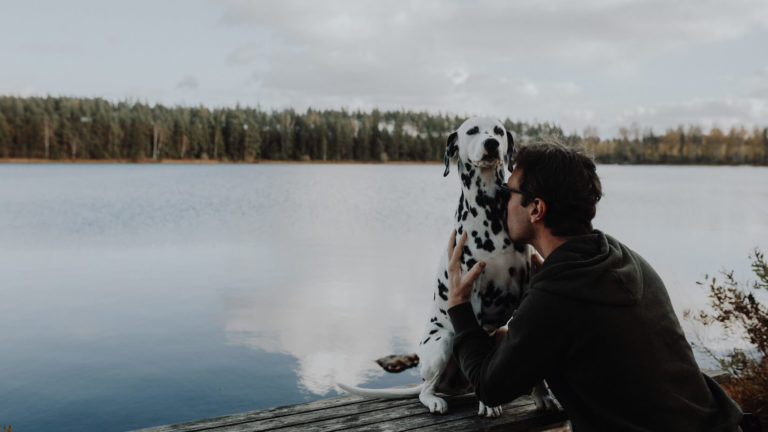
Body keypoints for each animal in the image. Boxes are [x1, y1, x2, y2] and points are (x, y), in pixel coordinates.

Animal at [340, 116, 556, 416]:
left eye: (499, 131)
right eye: (472, 131)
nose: (491, 143)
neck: (489, 212)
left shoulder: (525, 289)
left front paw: (542, 394)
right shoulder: (472, 294)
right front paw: (490, 404)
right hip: (442, 343)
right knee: (426, 390)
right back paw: (434, 399)